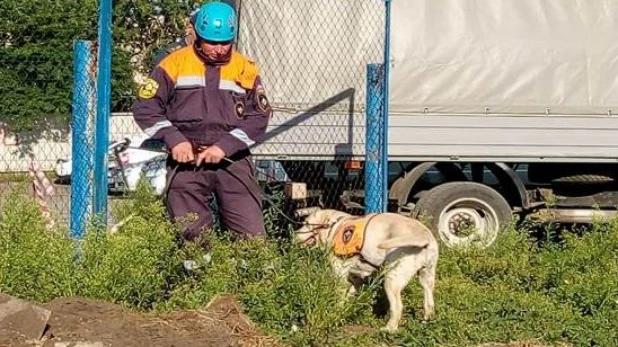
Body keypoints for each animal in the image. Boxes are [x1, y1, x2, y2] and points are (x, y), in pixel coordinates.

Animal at [294, 208, 438, 334]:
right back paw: (426, 323)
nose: (294, 235)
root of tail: (424, 236)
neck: (334, 226)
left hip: (391, 281)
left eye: (306, 223)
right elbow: (349, 294)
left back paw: (389, 329)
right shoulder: (355, 278)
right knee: (429, 304)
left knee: (397, 307)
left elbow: (339, 298)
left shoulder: (340, 274)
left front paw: (336, 312)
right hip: (426, 279)